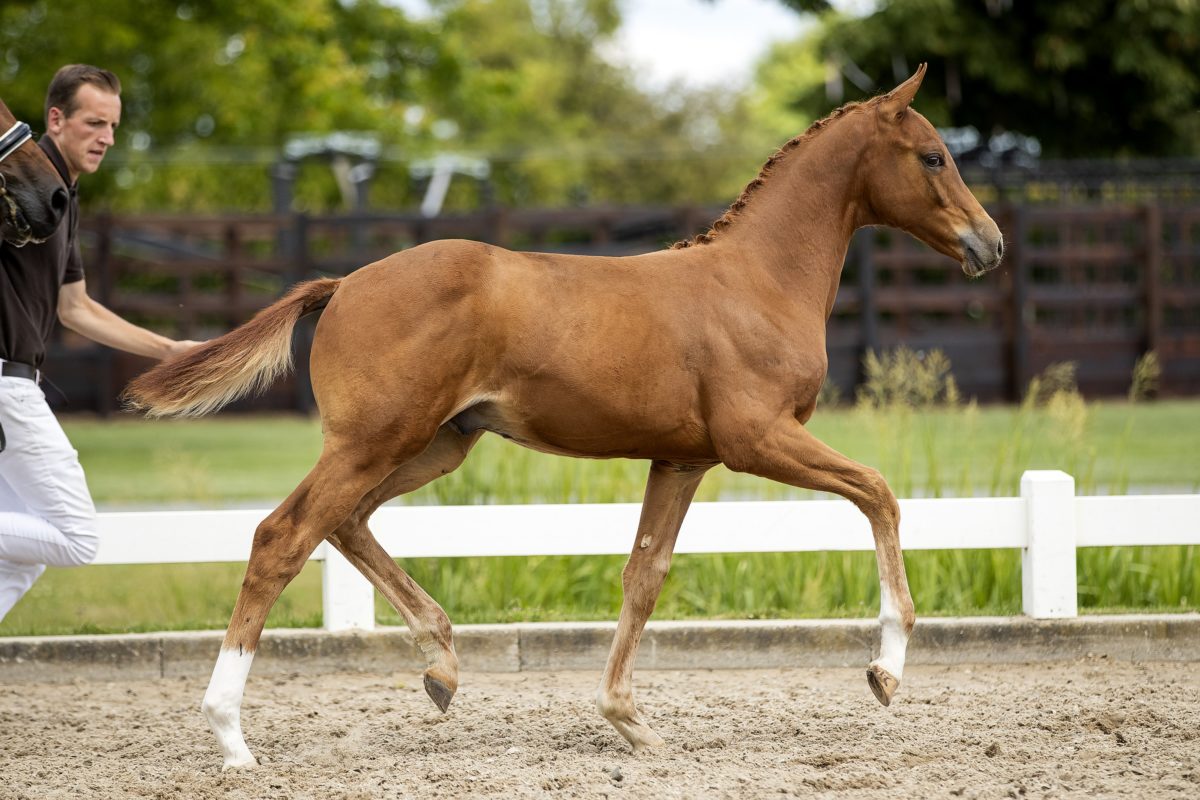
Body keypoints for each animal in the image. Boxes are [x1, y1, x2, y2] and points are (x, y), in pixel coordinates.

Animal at [125, 65, 1003, 769]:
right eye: (934, 155)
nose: (989, 244)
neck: (757, 280)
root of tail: (341, 284)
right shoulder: (758, 439)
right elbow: (879, 492)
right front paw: (885, 673)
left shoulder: (683, 459)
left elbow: (644, 575)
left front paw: (630, 722)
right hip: (376, 441)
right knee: (282, 537)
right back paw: (232, 736)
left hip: (433, 447)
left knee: (344, 524)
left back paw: (442, 667)